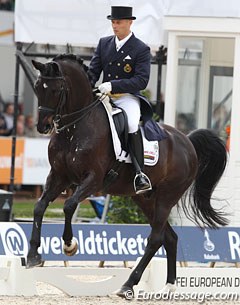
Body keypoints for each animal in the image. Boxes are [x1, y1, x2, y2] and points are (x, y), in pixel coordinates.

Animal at [26, 54, 227, 296]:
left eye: (56, 90)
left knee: (156, 238)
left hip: (167, 196)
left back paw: (129, 284)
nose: (43, 126)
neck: (75, 129)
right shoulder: (59, 176)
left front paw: (69, 245)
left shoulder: (93, 180)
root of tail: (187, 141)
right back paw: (168, 286)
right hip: (145, 199)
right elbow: (39, 207)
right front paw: (33, 256)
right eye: (38, 87)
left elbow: (69, 205)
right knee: (169, 238)